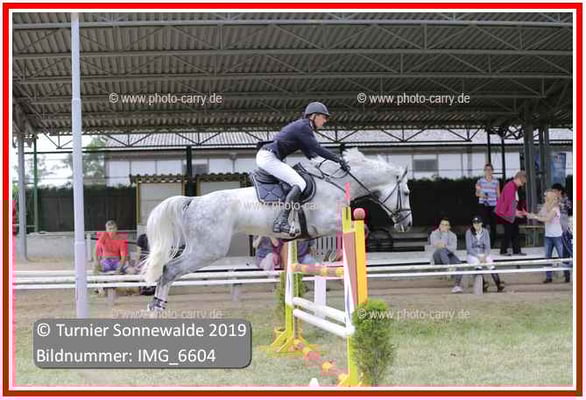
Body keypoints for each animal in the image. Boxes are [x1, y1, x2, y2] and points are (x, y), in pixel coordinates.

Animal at [142, 148, 412, 311]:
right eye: (407, 192)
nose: (406, 223)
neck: (334, 183)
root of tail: (193, 201)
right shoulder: (327, 222)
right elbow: (362, 229)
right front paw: (334, 256)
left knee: (168, 270)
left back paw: (157, 305)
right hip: (207, 250)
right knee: (169, 270)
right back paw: (157, 308)